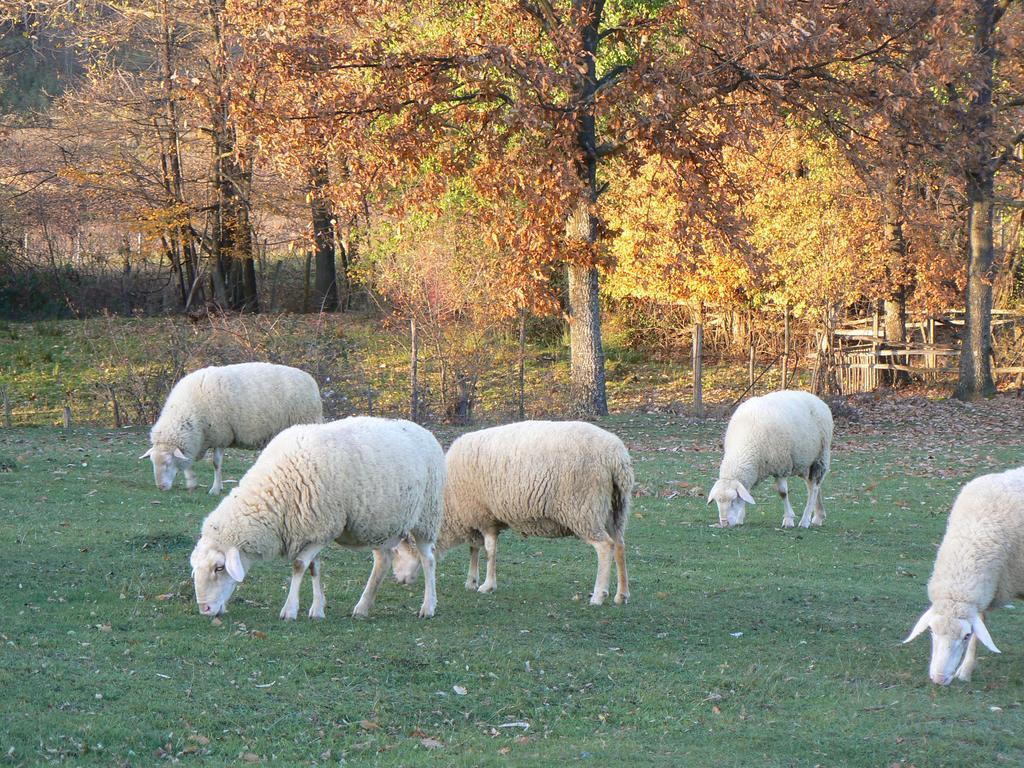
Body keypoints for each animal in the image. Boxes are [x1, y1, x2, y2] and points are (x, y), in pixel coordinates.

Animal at [140, 364, 321, 495]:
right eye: (152, 462)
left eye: (168, 463)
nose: (161, 487)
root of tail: (310, 379)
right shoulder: (199, 438)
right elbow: (188, 462)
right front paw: (192, 481)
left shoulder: (221, 435)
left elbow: (216, 463)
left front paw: (214, 489)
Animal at [190, 417, 446, 622]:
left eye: (219, 567)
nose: (205, 609)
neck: (275, 489)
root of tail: (424, 431)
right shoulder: (311, 529)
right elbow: (314, 567)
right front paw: (317, 609)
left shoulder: (325, 527)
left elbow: (299, 565)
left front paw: (290, 610)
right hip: (380, 524)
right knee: (383, 561)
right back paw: (363, 607)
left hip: (426, 516)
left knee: (428, 560)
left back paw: (428, 607)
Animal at [391, 421, 630, 606]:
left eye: (397, 551)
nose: (397, 580)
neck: (448, 505)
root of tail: (615, 456)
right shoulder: (476, 516)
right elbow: (474, 548)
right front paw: (471, 580)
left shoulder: (484, 518)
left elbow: (490, 552)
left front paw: (487, 585)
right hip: (614, 509)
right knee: (619, 546)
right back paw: (621, 595)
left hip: (583, 509)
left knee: (605, 547)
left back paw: (598, 595)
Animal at [708, 391, 835, 528]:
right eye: (717, 502)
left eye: (733, 500)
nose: (724, 523)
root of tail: (814, 397)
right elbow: (746, 493)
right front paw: (740, 518)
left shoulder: (781, 466)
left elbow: (783, 493)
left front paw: (788, 520)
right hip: (804, 462)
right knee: (813, 485)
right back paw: (818, 517)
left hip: (820, 457)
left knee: (814, 489)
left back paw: (805, 520)